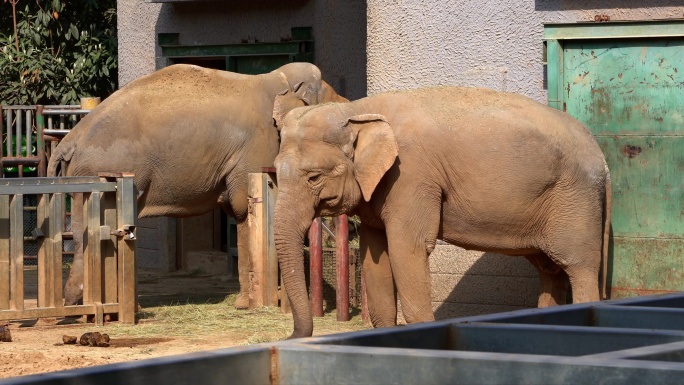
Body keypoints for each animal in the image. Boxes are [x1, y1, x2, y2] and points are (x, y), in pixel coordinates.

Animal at [46, 63, 348, 308]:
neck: (278, 80)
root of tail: (69, 140)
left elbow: (238, 211)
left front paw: (242, 304)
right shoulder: (257, 146)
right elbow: (244, 204)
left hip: (83, 177)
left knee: (82, 230)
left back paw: (76, 303)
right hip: (107, 168)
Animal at [272, 86, 616, 336]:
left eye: (314, 177)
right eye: (275, 170)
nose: (291, 336)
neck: (357, 109)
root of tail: (601, 156)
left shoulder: (411, 177)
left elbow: (407, 250)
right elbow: (376, 255)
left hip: (576, 201)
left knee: (578, 267)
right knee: (550, 269)